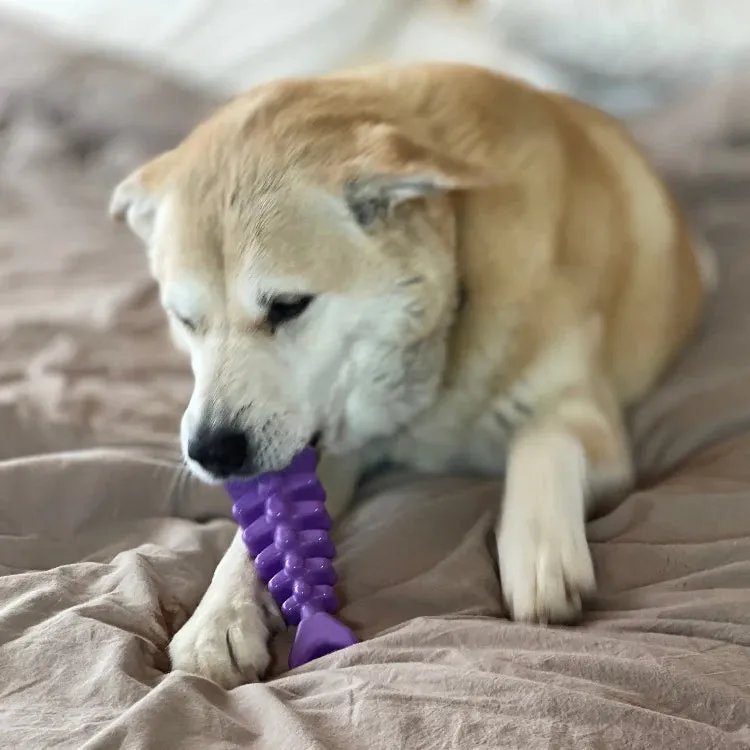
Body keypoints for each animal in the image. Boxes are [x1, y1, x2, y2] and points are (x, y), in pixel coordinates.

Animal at [110, 63, 712, 688]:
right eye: (185, 319)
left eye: (288, 306)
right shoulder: (330, 448)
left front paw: (538, 546)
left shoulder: (591, 422)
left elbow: (542, 439)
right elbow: (264, 534)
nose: (211, 451)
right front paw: (218, 613)